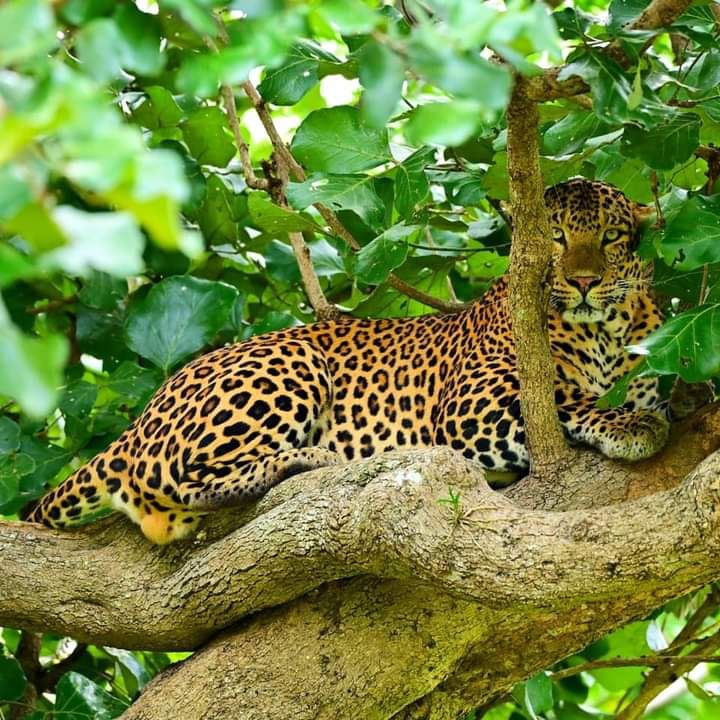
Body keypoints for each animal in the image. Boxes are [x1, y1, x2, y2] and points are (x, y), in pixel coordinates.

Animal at [26, 178, 670, 544]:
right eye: (555, 238)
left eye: (610, 238)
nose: (583, 281)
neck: (605, 330)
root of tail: (140, 419)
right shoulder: (469, 409)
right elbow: (569, 397)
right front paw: (628, 423)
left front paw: (641, 410)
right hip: (288, 363)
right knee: (190, 479)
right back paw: (305, 459)